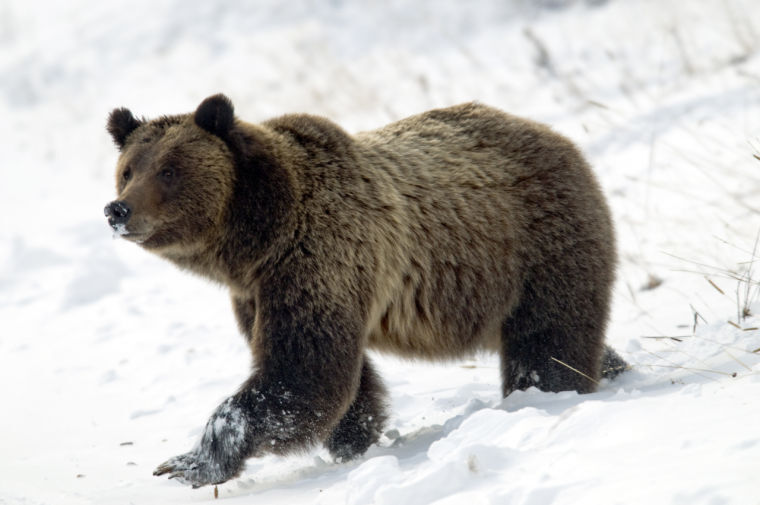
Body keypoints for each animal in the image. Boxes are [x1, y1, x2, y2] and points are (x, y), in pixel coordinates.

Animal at [104, 94, 628, 488]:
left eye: (169, 170)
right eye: (128, 169)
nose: (117, 210)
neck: (257, 237)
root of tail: (556, 136)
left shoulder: (316, 257)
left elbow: (302, 372)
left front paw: (190, 462)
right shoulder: (257, 293)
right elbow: (339, 378)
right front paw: (354, 438)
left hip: (534, 244)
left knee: (548, 337)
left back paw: (546, 391)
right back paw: (613, 364)